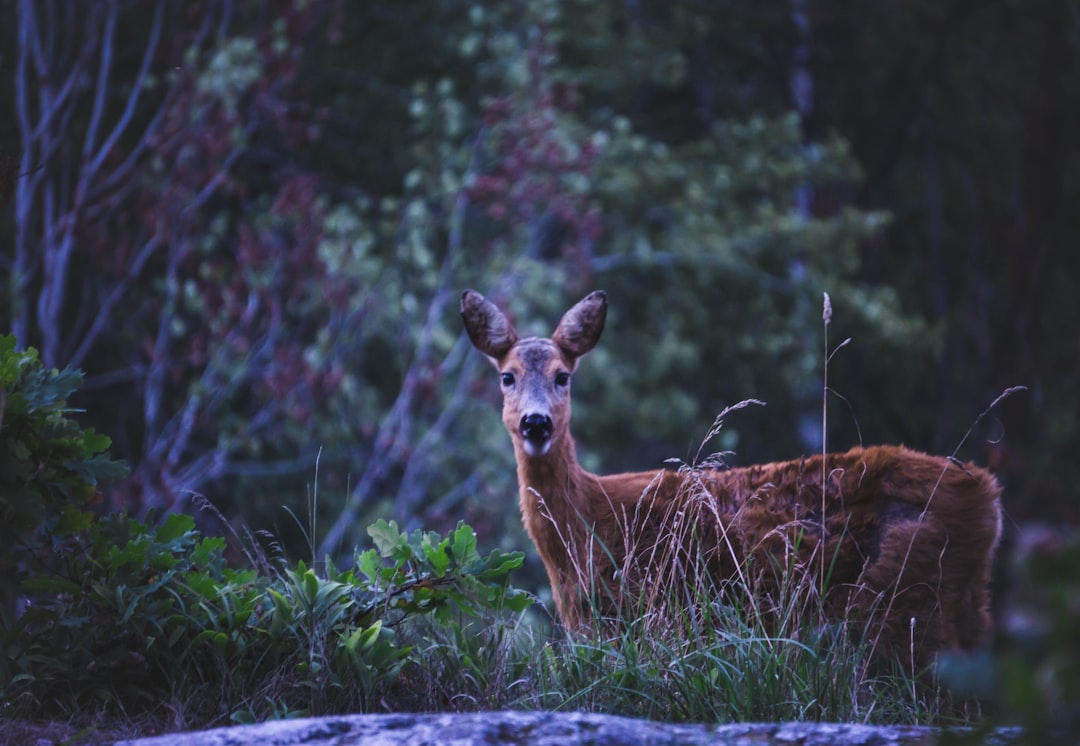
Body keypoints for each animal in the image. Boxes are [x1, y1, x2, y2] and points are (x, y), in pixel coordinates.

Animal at [462, 289, 1002, 669]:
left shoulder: (643, 612)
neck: (586, 527)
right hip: (963, 598)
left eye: (563, 376)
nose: (536, 423)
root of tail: (987, 492)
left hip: (906, 594)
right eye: (507, 376)